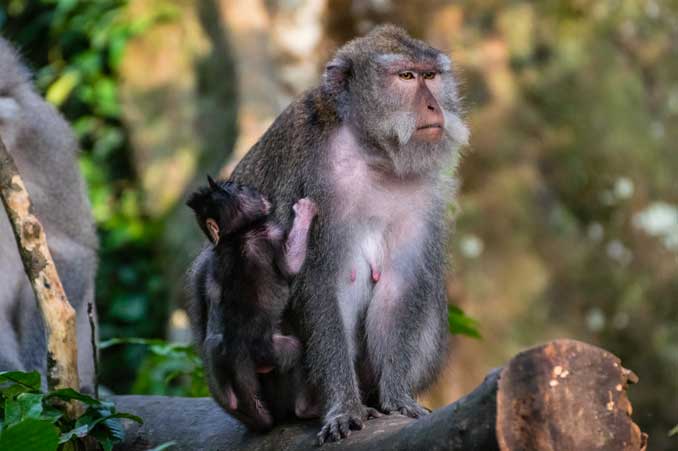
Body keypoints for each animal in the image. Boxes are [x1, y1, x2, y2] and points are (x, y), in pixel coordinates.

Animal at [186, 176, 324, 430]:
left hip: (220, 350)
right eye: (239, 188)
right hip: (271, 351)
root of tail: (238, 352)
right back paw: (306, 409)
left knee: (211, 347)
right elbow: (291, 265)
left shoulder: (216, 263)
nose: (258, 192)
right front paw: (305, 210)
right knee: (295, 351)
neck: (235, 234)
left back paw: (232, 400)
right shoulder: (271, 233)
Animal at [226, 25, 470, 444]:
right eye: (406, 77)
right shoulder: (316, 181)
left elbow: (400, 283)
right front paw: (344, 408)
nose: (433, 107)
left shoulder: (422, 188)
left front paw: (398, 396)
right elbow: (320, 281)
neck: (371, 151)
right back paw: (312, 405)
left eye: (431, 76)